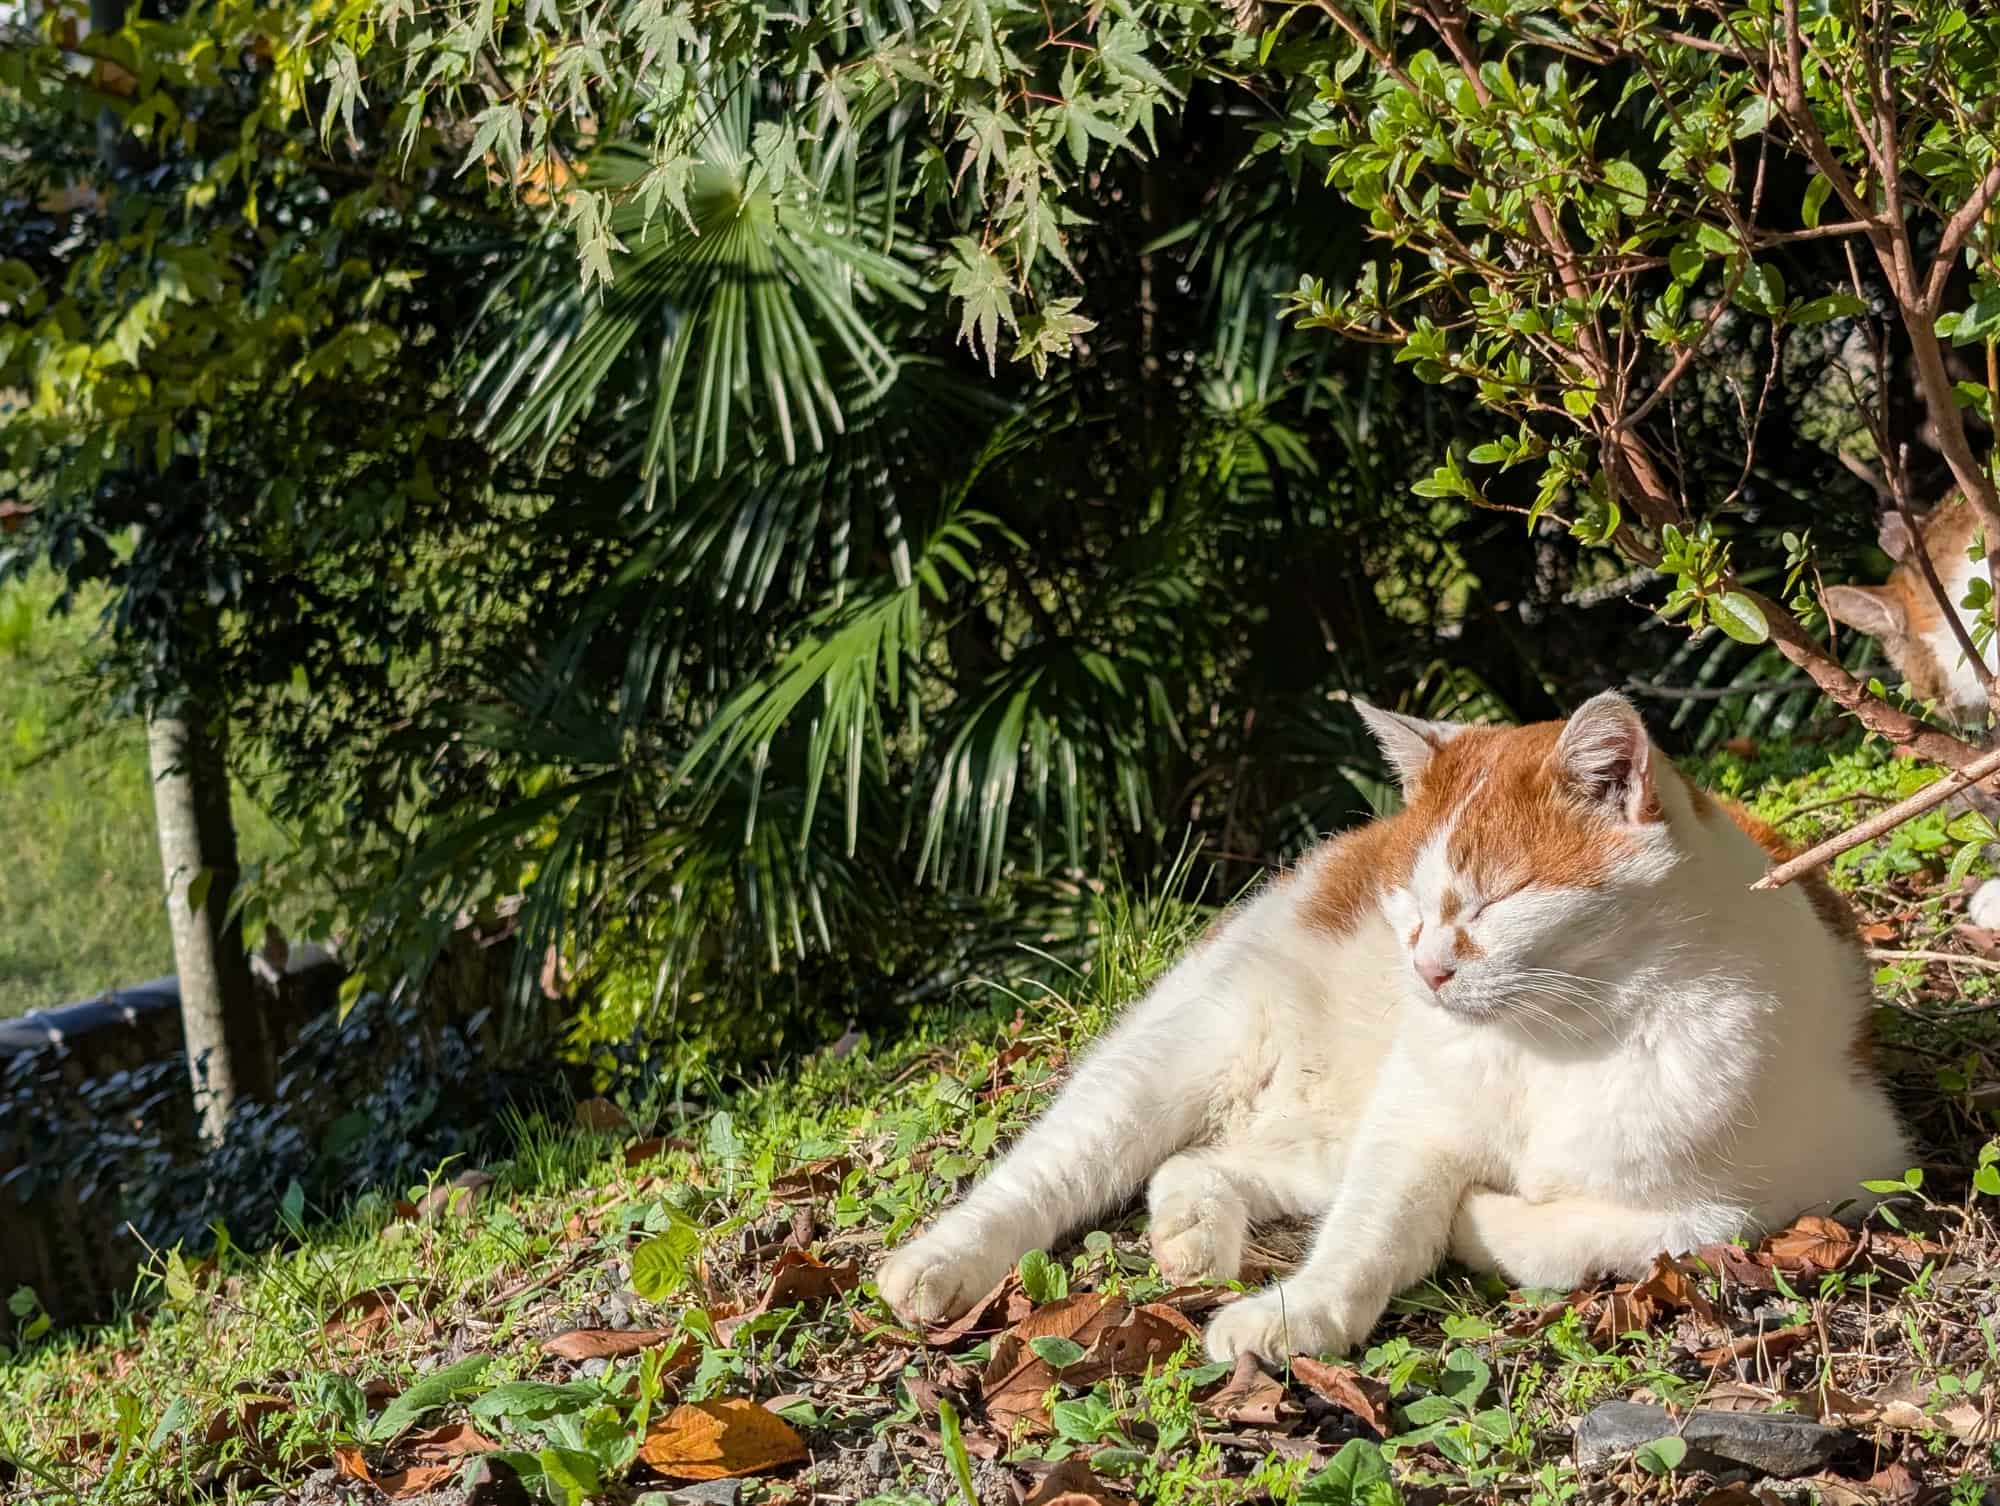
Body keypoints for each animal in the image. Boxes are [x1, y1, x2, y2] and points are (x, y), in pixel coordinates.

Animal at [876, 692, 1904, 1360]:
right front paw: (1299, 1317)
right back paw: (936, 1267)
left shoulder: (1845, 1168)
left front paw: (1480, 1221)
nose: (1426, 967)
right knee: (1048, 1172)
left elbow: (1653, 1228)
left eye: (1497, 899)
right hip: (1183, 1057)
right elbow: (1373, 1235)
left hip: (1325, 1126)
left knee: (1199, 1161)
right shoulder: (1416, 1133)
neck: (1571, 1035)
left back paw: (1192, 1233)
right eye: (1410, 902)